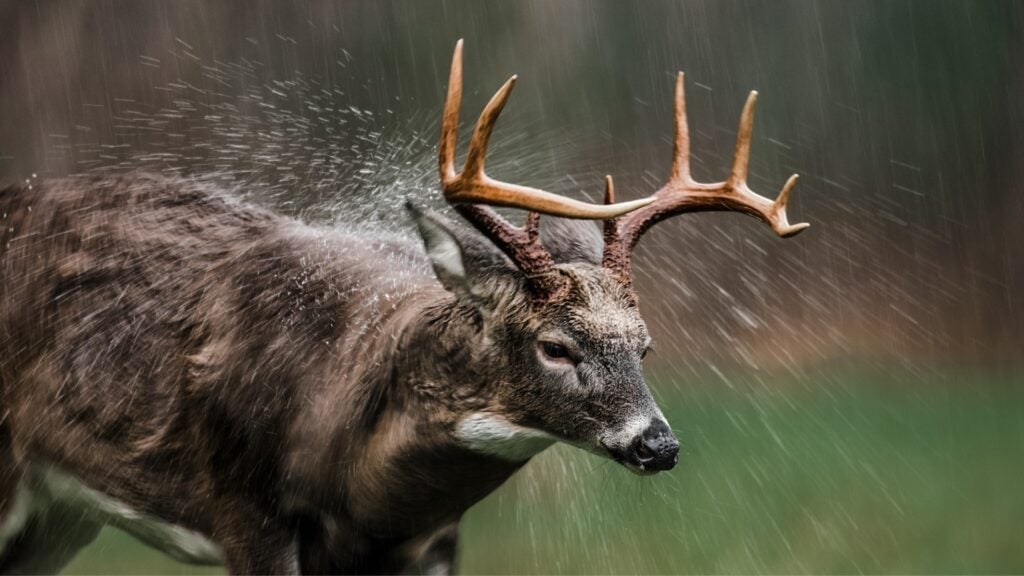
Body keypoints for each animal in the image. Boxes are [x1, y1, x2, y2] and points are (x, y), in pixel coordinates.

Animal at [0, 40, 807, 574]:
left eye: (645, 345)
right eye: (555, 346)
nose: (657, 445)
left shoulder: (432, 543)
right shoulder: (248, 516)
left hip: (60, 515)